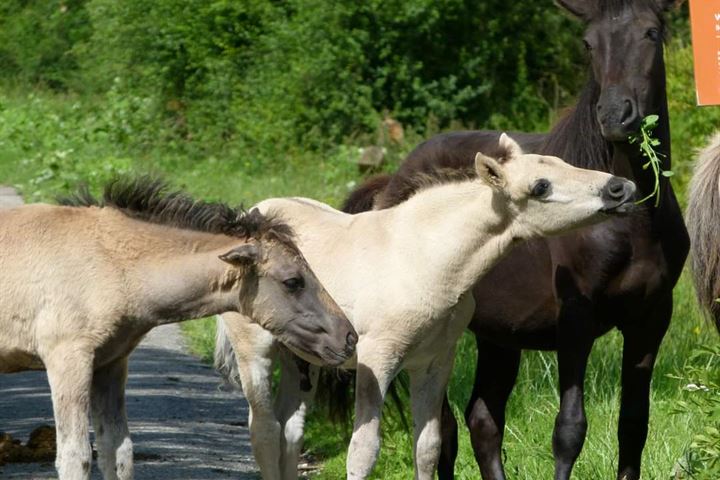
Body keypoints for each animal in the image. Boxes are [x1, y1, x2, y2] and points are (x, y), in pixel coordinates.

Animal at [344, 0, 688, 480]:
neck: (632, 223)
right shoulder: (575, 321)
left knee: (482, 420)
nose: (614, 116)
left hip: (497, 336)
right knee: (442, 430)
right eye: (588, 43)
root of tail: (392, 185)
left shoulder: (651, 319)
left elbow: (633, 425)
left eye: (651, 33)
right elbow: (569, 429)